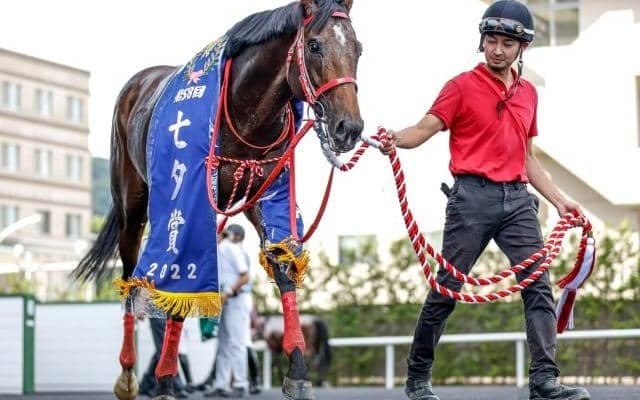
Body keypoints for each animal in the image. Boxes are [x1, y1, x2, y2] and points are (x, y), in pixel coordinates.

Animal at [73, 1, 362, 399]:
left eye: (358, 49)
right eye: (315, 46)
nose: (349, 127)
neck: (245, 112)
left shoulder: (264, 191)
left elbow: (283, 266)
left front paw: (298, 371)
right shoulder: (190, 196)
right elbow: (180, 278)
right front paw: (166, 380)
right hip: (132, 205)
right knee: (131, 278)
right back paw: (130, 374)